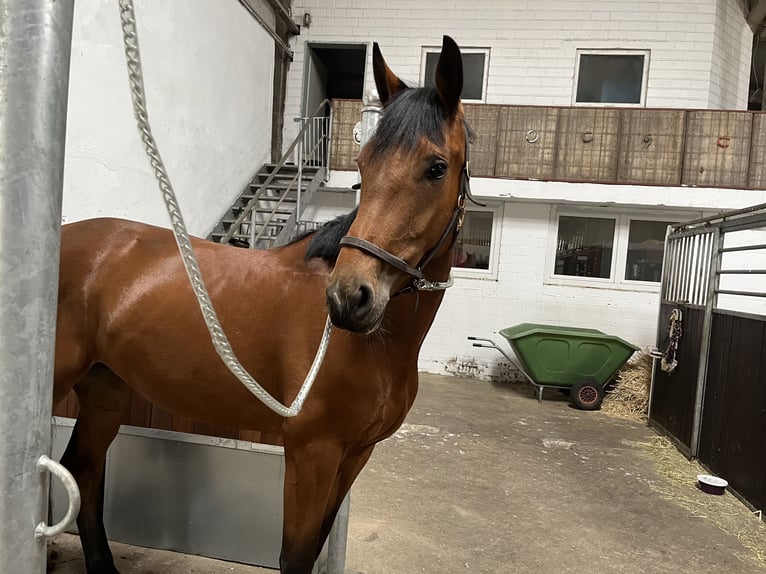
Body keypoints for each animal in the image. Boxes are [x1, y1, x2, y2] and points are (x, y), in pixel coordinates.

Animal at [52, 35, 470, 574]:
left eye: (436, 168)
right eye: (362, 166)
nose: (348, 297)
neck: (378, 345)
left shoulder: (355, 455)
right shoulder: (312, 453)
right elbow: (294, 555)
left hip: (105, 392)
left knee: (82, 471)